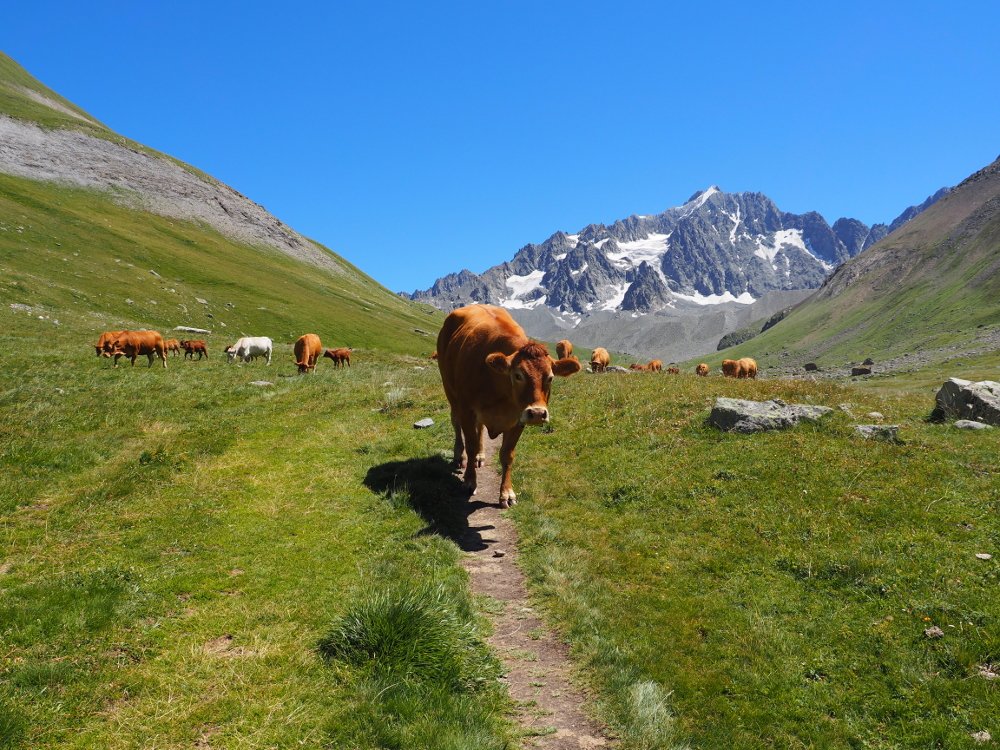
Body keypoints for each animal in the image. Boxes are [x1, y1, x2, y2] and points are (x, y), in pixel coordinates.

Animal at [437, 304, 581, 508]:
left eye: (551, 377)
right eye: (518, 375)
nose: (537, 413)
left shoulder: (518, 418)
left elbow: (507, 455)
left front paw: (507, 493)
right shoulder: (467, 409)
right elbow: (470, 445)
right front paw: (470, 481)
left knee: (480, 429)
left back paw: (481, 456)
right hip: (449, 390)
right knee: (456, 423)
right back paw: (460, 457)